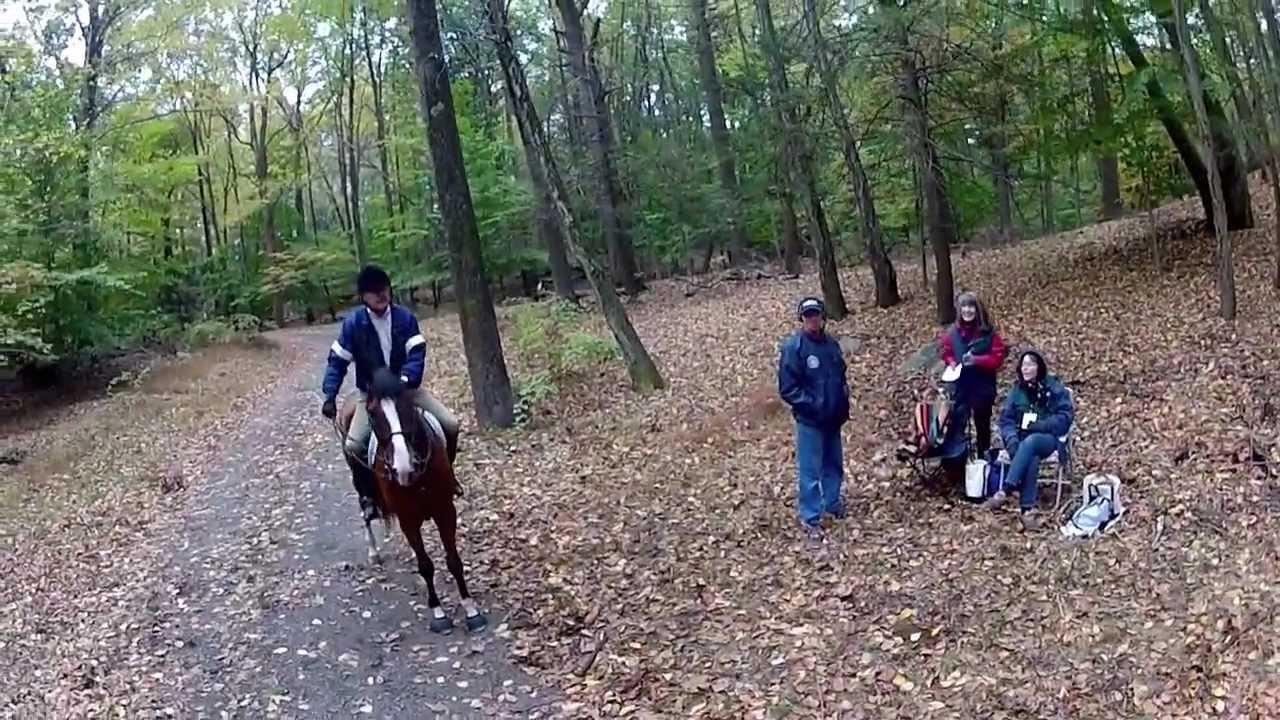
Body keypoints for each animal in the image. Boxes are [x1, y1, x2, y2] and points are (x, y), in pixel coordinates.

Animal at [336, 367, 486, 634]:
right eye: (373, 413)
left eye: (407, 407)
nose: (403, 468)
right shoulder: (408, 520)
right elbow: (425, 565)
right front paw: (438, 615)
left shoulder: (445, 511)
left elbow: (454, 561)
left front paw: (471, 611)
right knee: (365, 511)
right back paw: (373, 551)